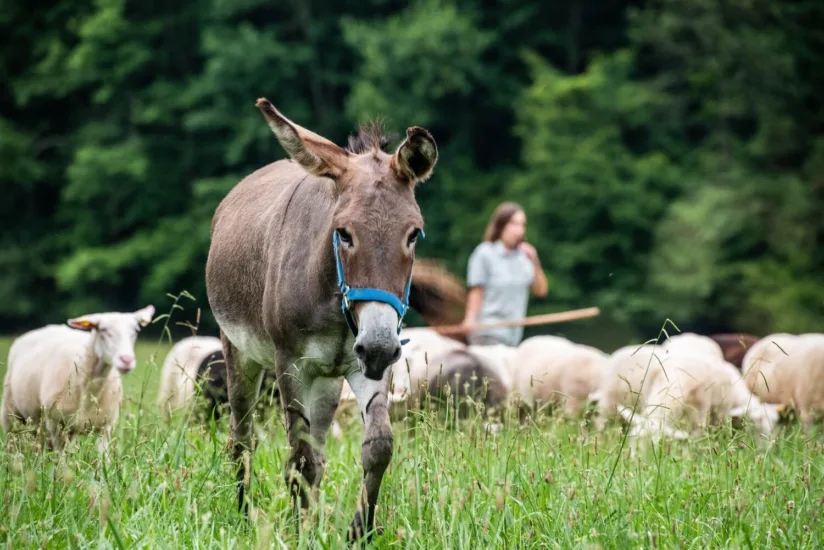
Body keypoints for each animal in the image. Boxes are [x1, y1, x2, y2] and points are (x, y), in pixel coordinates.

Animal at [1, 306, 155, 451]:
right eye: (103, 330)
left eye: (135, 331)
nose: (126, 360)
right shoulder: (55, 423)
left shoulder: (105, 426)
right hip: (11, 416)